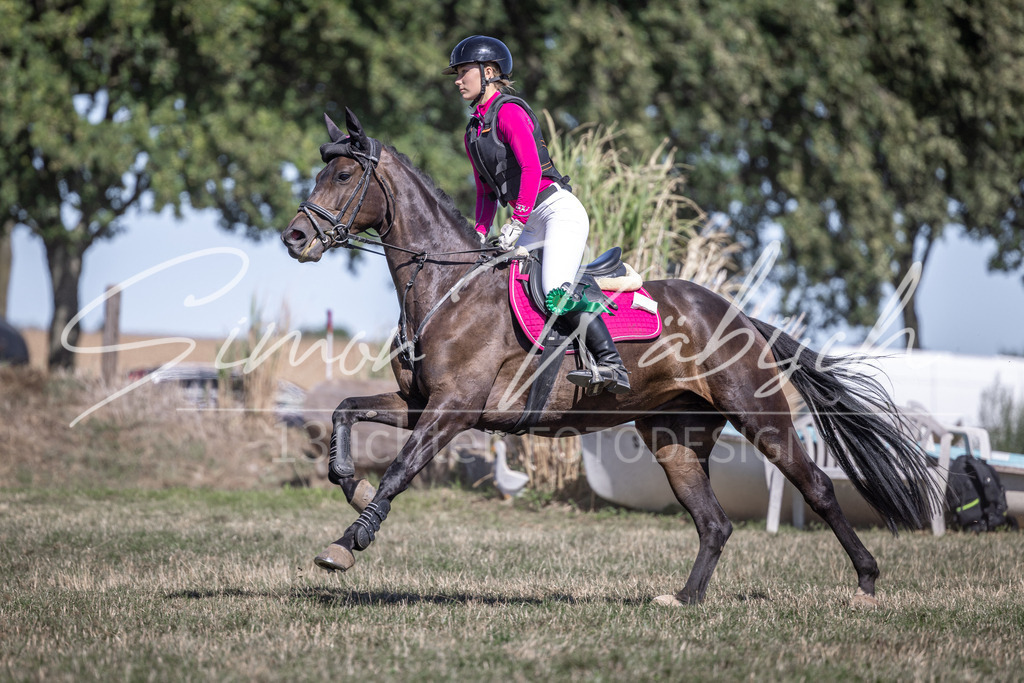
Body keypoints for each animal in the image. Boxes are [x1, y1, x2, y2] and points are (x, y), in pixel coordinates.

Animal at [281, 108, 942, 607]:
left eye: (344, 173)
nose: (295, 239)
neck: (448, 287)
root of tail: (738, 315)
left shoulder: (454, 409)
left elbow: (400, 470)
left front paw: (347, 543)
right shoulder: (419, 403)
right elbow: (344, 410)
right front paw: (353, 489)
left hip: (760, 415)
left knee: (818, 488)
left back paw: (866, 580)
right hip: (673, 435)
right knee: (714, 521)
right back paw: (685, 599)